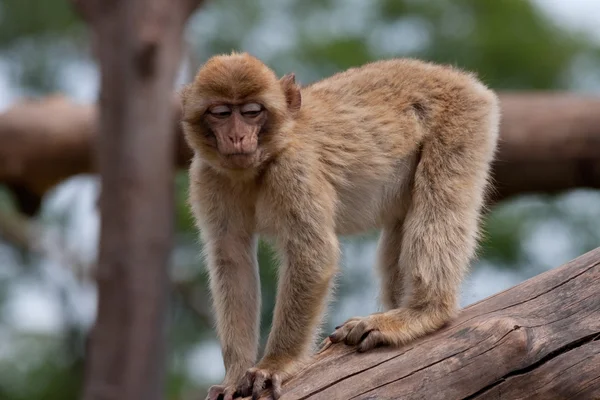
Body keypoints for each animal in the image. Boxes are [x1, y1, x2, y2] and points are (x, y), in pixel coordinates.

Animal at [182, 53, 502, 400]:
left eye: (252, 112)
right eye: (221, 113)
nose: (237, 137)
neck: (259, 164)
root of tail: (457, 77)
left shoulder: (293, 169)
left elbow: (313, 255)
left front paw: (276, 363)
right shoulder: (207, 176)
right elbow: (232, 261)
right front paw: (234, 375)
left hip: (462, 120)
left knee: (439, 201)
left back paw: (424, 312)